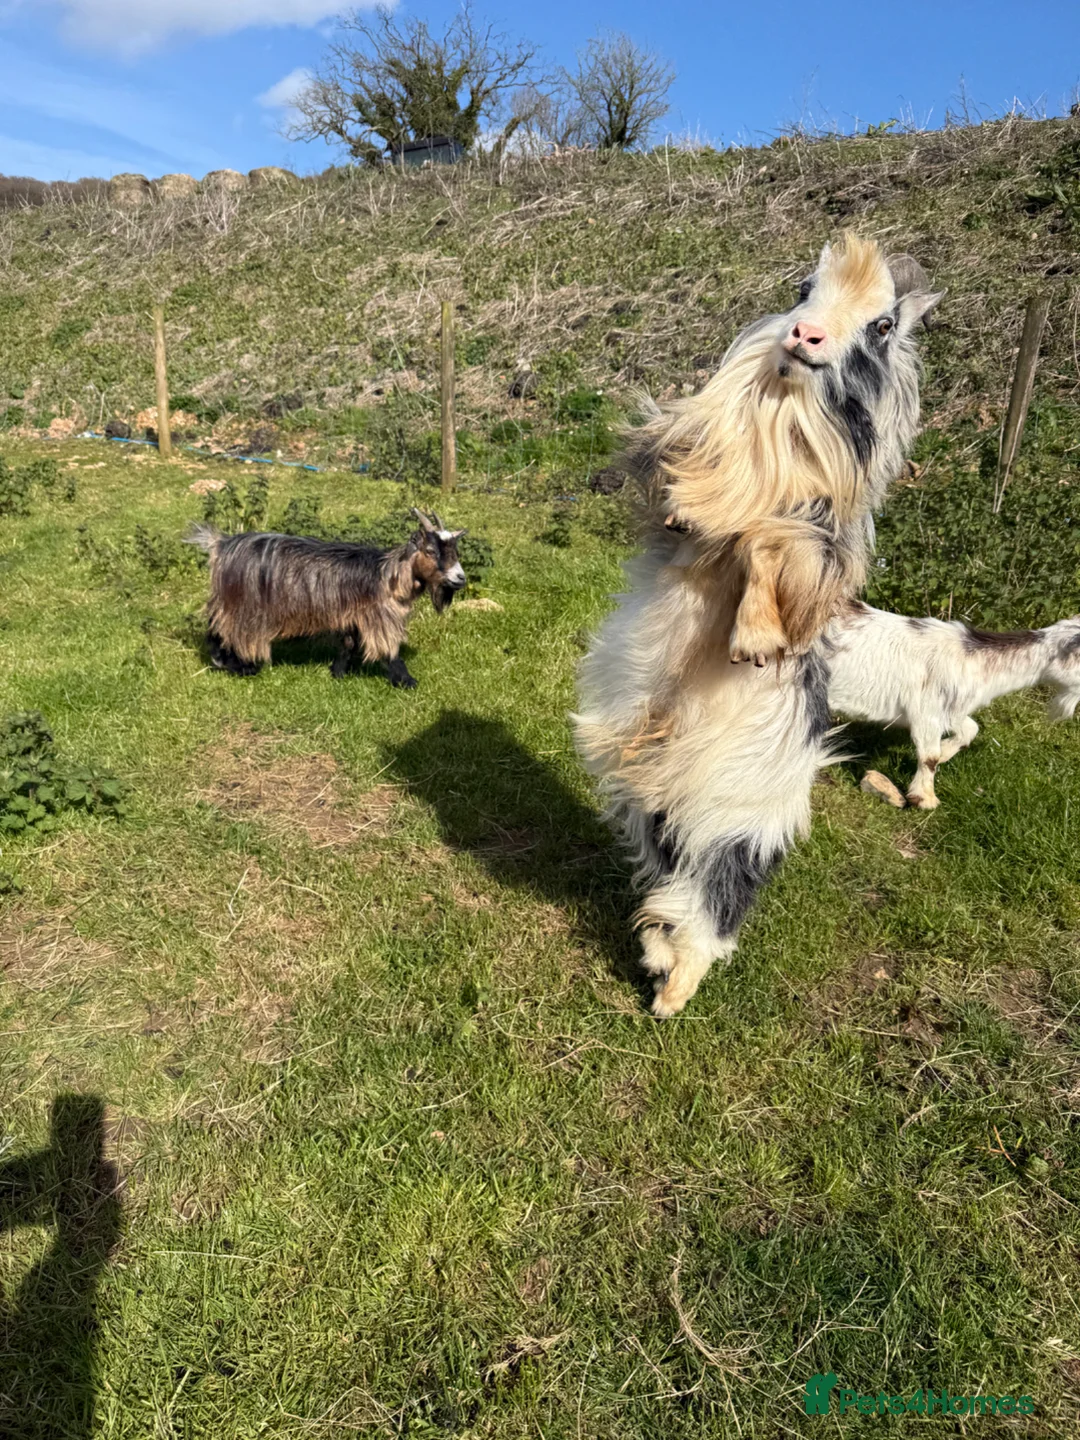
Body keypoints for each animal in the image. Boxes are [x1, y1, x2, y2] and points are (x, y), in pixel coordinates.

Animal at [188, 509, 467, 688]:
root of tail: (221, 544)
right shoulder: (379, 616)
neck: (388, 576)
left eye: (455, 551)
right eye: (430, 551)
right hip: (242, 603)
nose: (460, 577)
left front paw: (338, 673)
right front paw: (407, 681)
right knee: (225, 628)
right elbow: (388, 648)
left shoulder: (352, 615)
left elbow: (348, 644)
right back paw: (239, 666)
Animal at [575, 234, 939, 1017]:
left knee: (711, 903)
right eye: (803, 287)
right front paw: (693, 504)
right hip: (658, 804)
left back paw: (672, 992)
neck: (779, 428)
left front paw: (753, 640)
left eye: (883, 325)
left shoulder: (820, 547)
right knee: (670, 881)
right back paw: (657, 965)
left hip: (738, 816)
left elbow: (773, 543)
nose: (805, 336)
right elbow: (690, 491)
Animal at [828, 603, 1080, 809]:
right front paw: (925, 799)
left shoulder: (952, 710)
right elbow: (928, 756)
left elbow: (970, 730)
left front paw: (945, 753)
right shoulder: (927, 711)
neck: (973, 660)